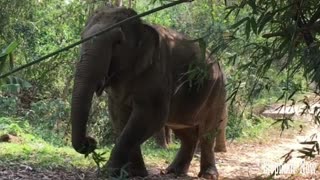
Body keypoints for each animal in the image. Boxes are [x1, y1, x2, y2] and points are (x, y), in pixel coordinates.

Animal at [71, 6, 228, 179]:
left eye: (118, 42)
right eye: (81, 38)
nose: (90, 141)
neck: (142, 24)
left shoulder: (158, 71)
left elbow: (152, 116)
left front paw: (107, 172)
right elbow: (119, 116)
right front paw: (135, 173)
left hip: (218, 91)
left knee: (207, 132)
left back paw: (208, 174)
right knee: (186, 133)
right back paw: (173, 171)